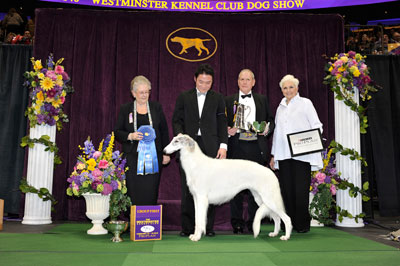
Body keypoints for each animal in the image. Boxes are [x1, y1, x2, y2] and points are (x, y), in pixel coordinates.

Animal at [164, 135, 292, 241]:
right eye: (173, 139)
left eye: (176, 141)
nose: (164, 151)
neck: (195, 163)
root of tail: (271, 173)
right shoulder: (196, 198)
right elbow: (197, 219)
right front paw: (195, 235)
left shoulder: (201, 198)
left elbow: (200, 220)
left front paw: (197, 237)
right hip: (261, 199)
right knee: (276, 217)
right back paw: (274, 233)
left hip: (269, 200)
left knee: (286, 218)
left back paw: (286, 236)